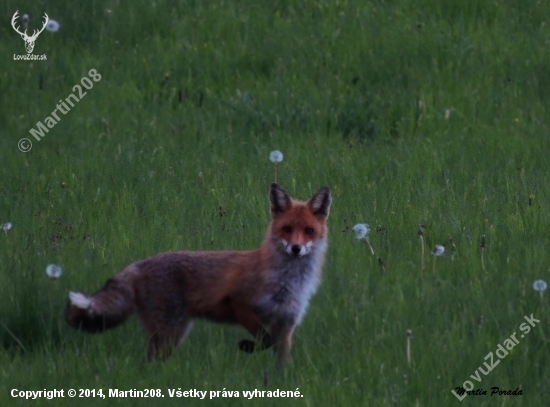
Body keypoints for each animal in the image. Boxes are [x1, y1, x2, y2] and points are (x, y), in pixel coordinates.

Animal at [64, 184, 332, 366]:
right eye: (287, 229)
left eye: (308, 231)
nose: (296, 248)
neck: (287, 283)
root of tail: (139, 264)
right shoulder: (239, 303)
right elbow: (264, 341)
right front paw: (247, 346)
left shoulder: (286, 324)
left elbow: (281, 364)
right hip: (170, 332)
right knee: (148, 363)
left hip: (171, 333)